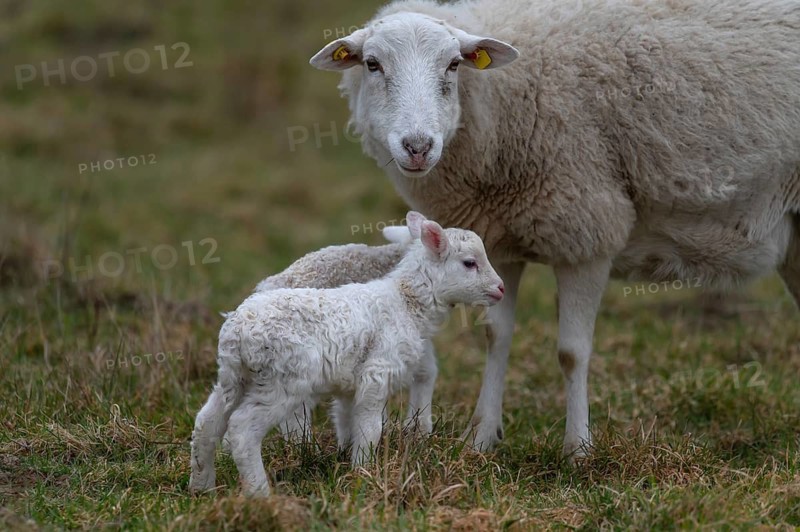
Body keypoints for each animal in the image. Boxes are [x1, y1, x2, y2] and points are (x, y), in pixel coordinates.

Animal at [190, 215, 505, 496]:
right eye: (469, 263)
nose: (501, 289)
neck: (406, 301)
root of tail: (237, 332)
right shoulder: (376, 372)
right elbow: (370, 428)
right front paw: (363, 474)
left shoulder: (351, 384)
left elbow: (350, 421)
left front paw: (351, 462)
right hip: (283, 381)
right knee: (243, 430)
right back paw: (260, 494)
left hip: (233, 378)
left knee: (207, 422)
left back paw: (201, 487)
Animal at [310, 0, 800, 459]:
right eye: (372, 64)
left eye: (452, 65)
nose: (417, 146)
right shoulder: (498, 239)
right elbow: (496, 337)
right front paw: (480, 440)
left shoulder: (588, 229)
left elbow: (571, 353)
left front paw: (578, 449)